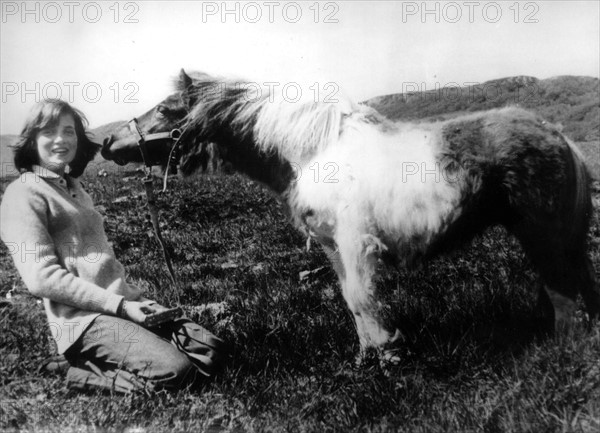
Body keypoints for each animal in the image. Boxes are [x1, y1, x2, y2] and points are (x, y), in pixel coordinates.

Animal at [101, 69, 596, 362]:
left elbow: (362, 298)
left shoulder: (357, 243)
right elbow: (350, 300)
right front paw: (367, 354)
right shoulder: (333, 246)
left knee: (566, 299)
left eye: (166, 110)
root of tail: (558, 135)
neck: (315, 152)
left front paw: (387, 354)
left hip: (544, 239)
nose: (107, 143)